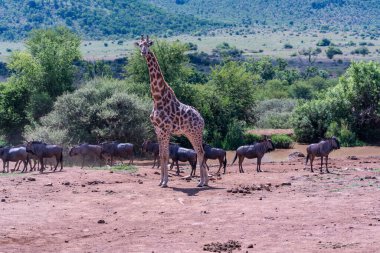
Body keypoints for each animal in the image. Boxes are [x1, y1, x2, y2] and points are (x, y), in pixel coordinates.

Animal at [136, 34, 209, 187]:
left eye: (148, 44)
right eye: (139, 44)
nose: (143, 52)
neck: (157, 98)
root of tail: (201, 118)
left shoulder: (165, 130)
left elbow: (165, 155)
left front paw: (165, 182)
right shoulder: (158, 130)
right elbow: (161, 155)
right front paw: (161, 181)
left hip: (195, 133)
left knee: (201, 152)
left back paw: (202, 182)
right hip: (190, 133)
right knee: (200, 152)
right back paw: (204, 181)